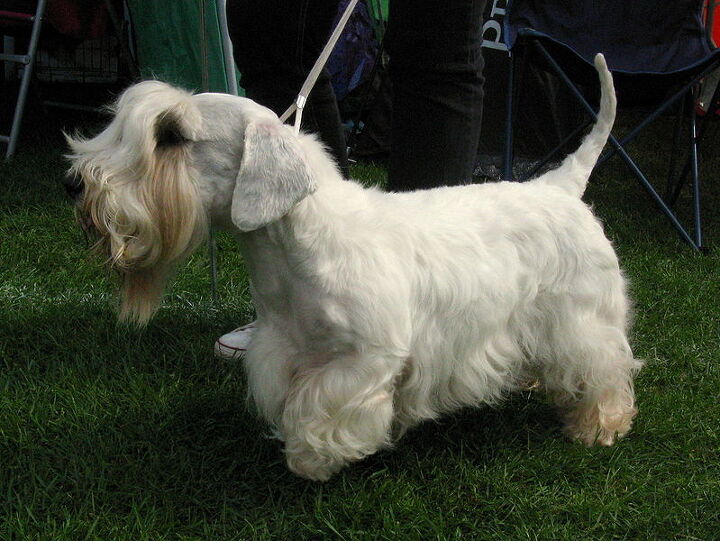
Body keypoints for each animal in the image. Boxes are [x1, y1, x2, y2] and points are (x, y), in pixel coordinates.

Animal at [66, 53, 640, 476]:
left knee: (606, 367)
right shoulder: (282, 347)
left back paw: (599, 426)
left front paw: (312, 458)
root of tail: (561, 185)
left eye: (170, 136)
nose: (74, 185)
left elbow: (321, 410)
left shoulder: (366, 359)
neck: (294, 248)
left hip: (583, 318)